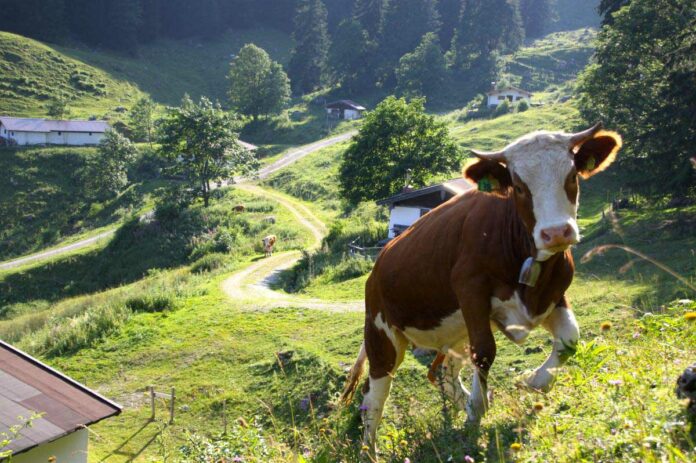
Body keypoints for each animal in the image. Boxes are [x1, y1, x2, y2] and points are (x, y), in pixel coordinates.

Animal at [340, 122, 624, 456]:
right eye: (519, 186)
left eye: (571, 176)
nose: (556, 233)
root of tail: (379, 261)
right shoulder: (471, 292)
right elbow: (486, 352)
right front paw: (476, 414)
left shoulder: (551, 296)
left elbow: (569, 339)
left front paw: (531, 381)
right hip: (382, 333)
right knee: (374, 397)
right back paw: (369, 451)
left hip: (455, 329)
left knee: (442, 372)